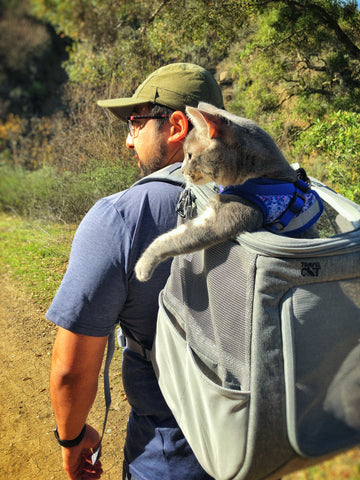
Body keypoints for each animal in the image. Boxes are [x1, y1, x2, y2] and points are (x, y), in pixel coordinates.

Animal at [136, 101, 324, 282]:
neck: (261, 176)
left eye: (189, 155)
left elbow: (174, 237)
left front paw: (142, 266)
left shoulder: (226, 213)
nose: (181, 170)